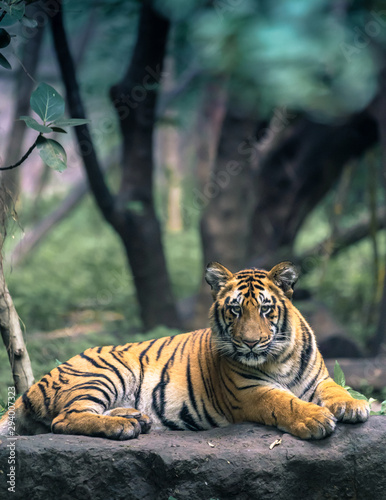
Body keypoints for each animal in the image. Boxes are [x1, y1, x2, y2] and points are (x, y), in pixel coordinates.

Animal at [0, 262, 370, 442]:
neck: (278, 357)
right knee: (64, 419)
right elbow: (283, 402)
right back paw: (121, 426)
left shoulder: (318, 379)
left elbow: (336, 389)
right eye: (235, 310)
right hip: (105, 372)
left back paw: (135, 417)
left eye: (266, 310)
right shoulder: (248, 392)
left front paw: (354, 405)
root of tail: (34, 386)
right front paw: (315, 419)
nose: (250, 343)